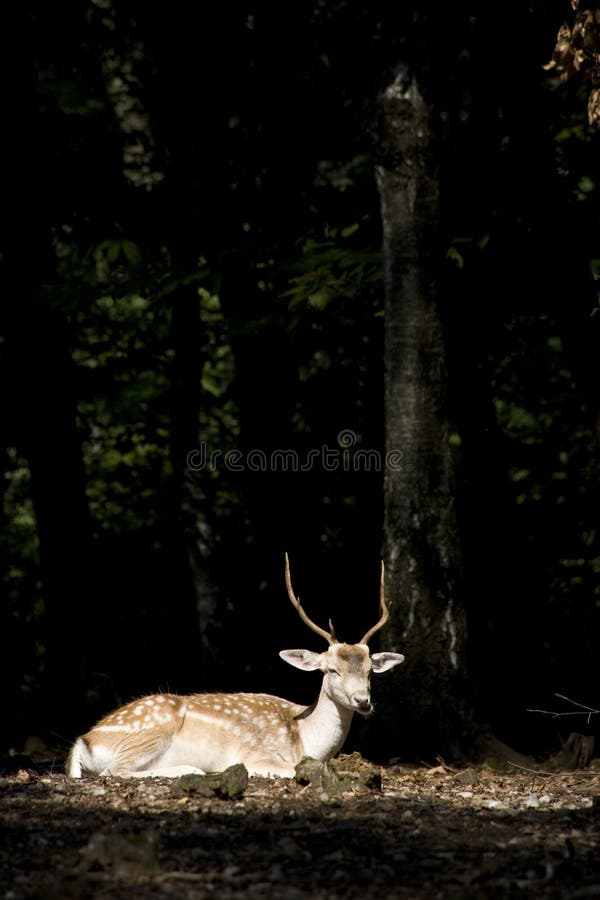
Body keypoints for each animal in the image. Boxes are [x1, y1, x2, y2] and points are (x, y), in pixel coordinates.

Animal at [67, 554, 405, 778]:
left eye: (370, 671)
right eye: (331, 670)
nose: (363, 701)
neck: (304, 739)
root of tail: (84, 742)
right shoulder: (257, 754)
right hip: (151, 729)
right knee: (115, 771)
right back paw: (192, 770)